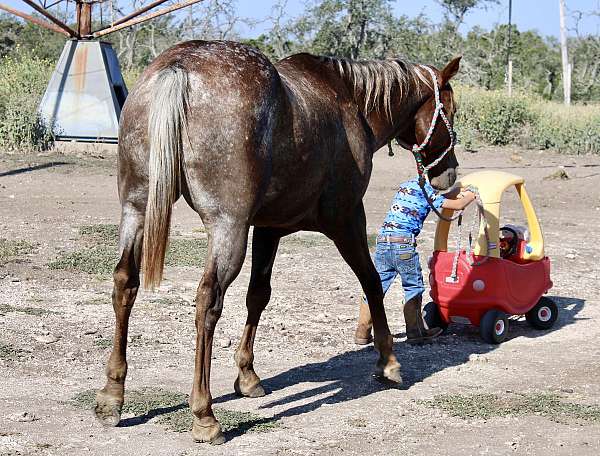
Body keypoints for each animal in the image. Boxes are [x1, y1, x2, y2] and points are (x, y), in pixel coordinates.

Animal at [94, 40, 462, 446]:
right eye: (451, 112)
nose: (449, 175)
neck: (349, 100)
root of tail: (179, 67)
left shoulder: (268, 229)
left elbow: (258, 295)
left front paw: (247, 376)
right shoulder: (347, 219)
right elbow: (371, 282)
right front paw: (389, 361)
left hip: (137, 208)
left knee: (125, 283)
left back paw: (112, 395)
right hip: (227, 228)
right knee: (208, 301)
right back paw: (204, 414)